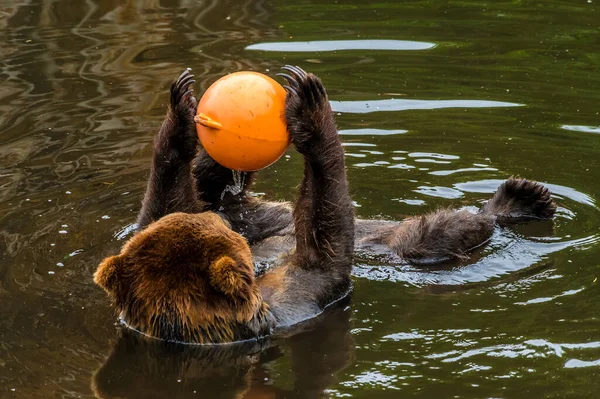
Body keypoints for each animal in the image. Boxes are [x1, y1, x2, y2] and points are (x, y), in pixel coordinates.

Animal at [95, 67, 556, 346]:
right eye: (217, 232)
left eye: (207, 223)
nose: (215, 216)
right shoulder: (296, 298)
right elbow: (327, 243)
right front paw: (312, 110)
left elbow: (157, 209)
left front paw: (181, 115)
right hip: (417, 245)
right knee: (439, 232)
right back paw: (518, 200)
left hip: (264, 217)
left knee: (233, 197)